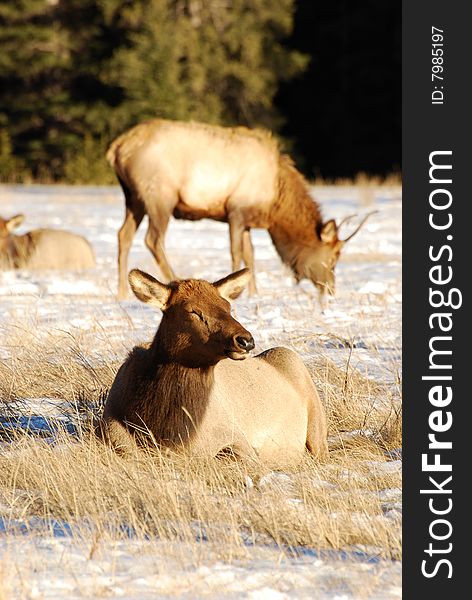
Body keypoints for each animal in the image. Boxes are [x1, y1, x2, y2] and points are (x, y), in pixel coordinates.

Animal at [108, 119, 376, 300]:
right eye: (333, 258)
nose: (331, 289)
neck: (274, 203)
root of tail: (117, 148)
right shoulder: (236, 211)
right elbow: (236, 252)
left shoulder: (247, 220)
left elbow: (250, 254)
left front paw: (253, 293)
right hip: (160, 196)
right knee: (153, 239)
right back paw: (173, 279)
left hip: (133, 198)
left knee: (123, 235)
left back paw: (121, 292)